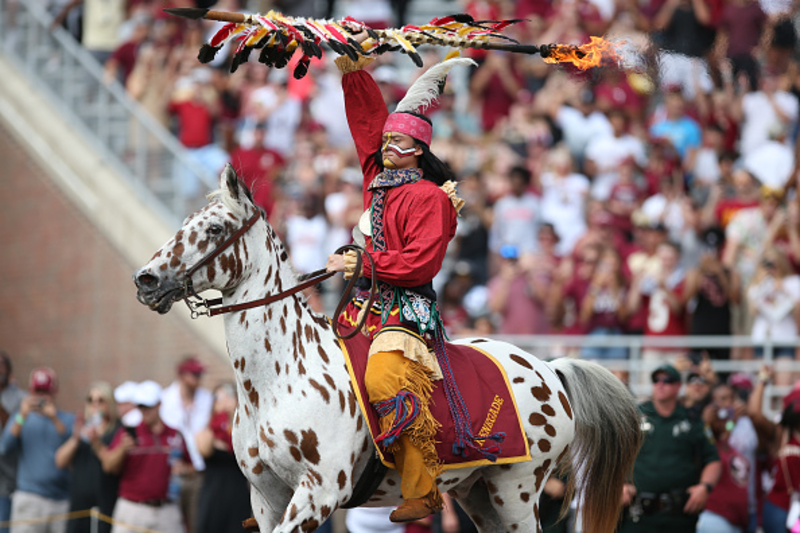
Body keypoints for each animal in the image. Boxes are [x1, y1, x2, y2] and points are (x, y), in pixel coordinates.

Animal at [134, 166, 640, 532]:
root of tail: (550, 370)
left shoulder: (319, 493)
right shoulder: (267, 498)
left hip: (515, 491)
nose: (146, 280)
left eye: (215, 229)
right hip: (479, 494)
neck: (279, 378)